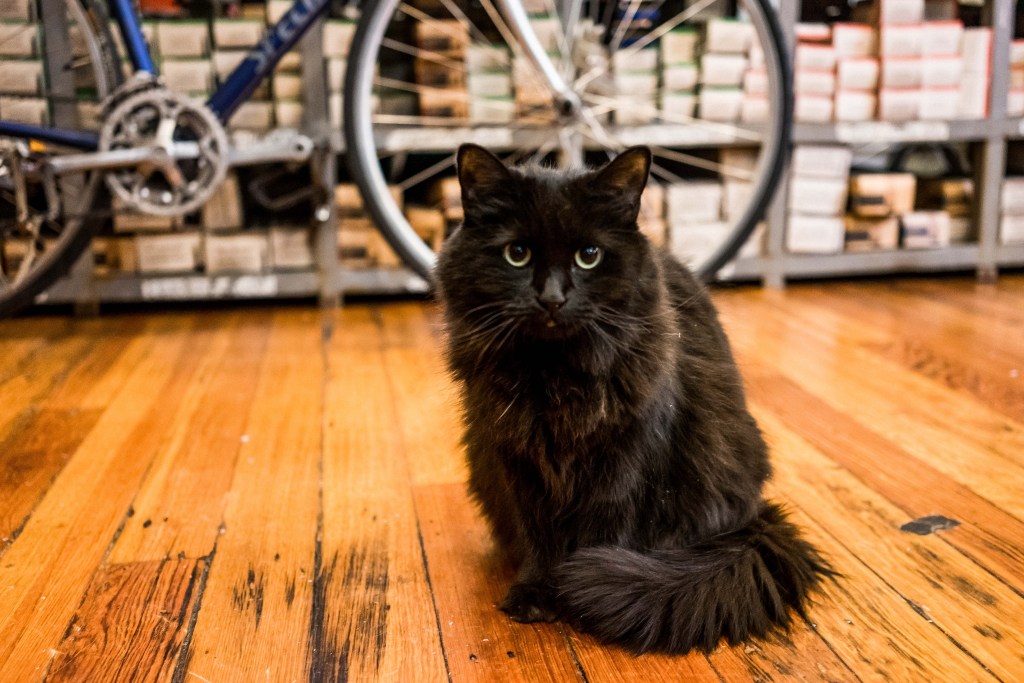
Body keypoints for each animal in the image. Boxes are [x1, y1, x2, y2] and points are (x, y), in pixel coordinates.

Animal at [432, 145, 831, 655]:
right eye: (516, 254)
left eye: (589, 256)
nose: (552, 298)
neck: (555, 377)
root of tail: (754, 517)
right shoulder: (517, 458)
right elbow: (536, 535)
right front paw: (537, 593)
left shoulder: (625, 461)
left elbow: (604, 532)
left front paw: (585, 589)